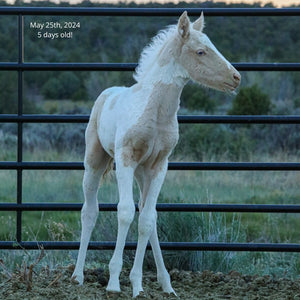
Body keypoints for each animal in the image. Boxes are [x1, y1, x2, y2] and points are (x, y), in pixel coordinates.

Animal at [71, 11, 240, 298]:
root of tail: (106, 93)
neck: (156, 111)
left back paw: (166, 283)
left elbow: (148, 220)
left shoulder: (160, 165)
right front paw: (114, 282)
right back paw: (78, 275)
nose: (236, 77)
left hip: (142, 173)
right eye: (201, 51)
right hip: (95, 161)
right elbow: (125, 212)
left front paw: (138, 284)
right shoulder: (125, 160)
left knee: (146, 213)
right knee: (89, 211)